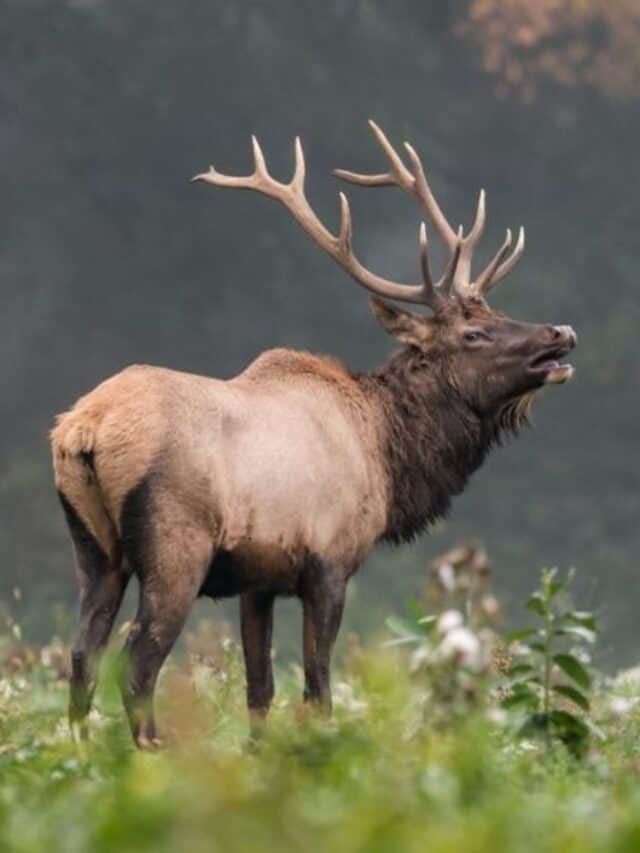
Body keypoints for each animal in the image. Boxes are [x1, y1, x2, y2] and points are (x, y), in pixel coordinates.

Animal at [51, 121, 576, 748]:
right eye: (473, 332)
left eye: (496, 312)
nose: (560, 332)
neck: (388, 455)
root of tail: (85, 429)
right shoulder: (329, 561)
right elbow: (318, 689)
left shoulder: (258, 580)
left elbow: (259, 691)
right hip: (175, 544)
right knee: (135, 663)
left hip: (94, 548)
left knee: (82, 656)